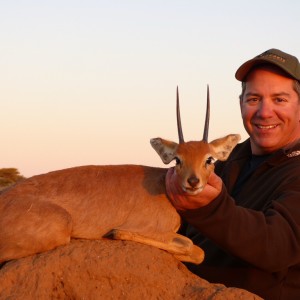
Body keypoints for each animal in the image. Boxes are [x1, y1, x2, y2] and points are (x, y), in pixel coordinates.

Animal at [0, 86, 240, 264]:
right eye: (177, 159)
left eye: (209, 159)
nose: (193, 181)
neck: (163, 186)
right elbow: (195, 249)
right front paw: (116, 233)